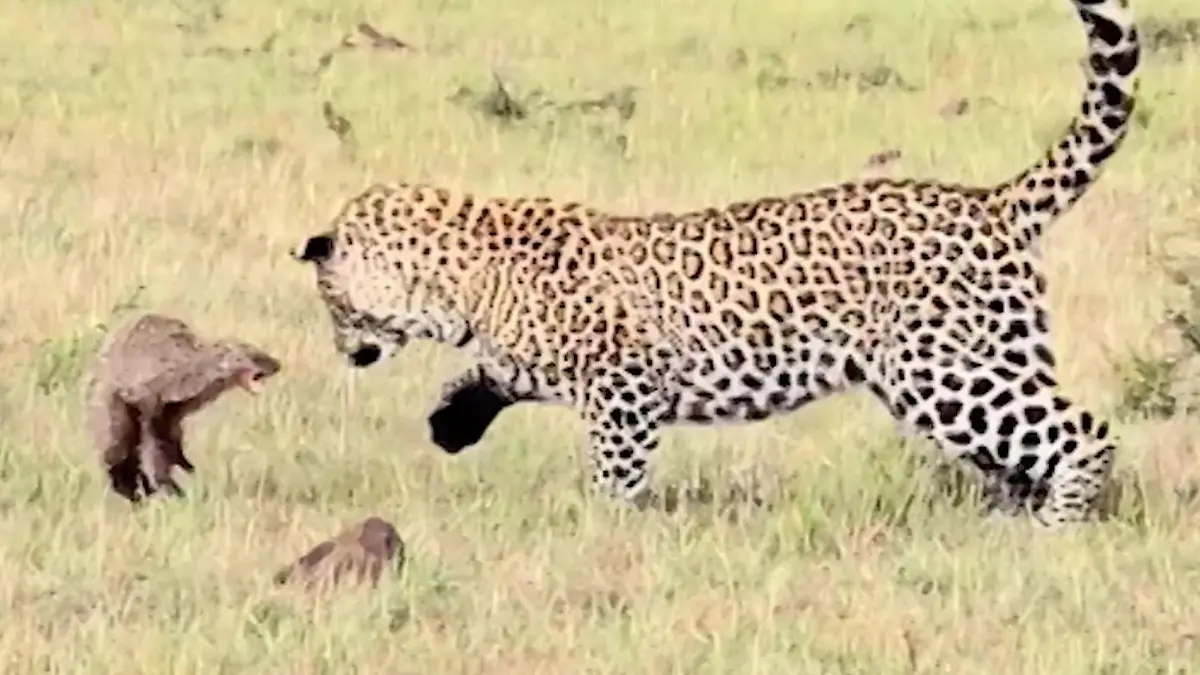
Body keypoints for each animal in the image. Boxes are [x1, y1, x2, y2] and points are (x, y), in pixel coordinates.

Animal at [292, 0, 1140, 528]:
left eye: (331, 303)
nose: (343, 350)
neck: (459, 281)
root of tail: (992, 200)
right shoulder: (541, 363)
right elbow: (492, 373)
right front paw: (451, 422)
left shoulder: (625, 388)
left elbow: (615, 469)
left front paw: (604, 524)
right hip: (990, 358)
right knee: (1024, 452)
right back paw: (1009, 517)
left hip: (943, 370)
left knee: (1084, 431)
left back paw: (1055, 528)